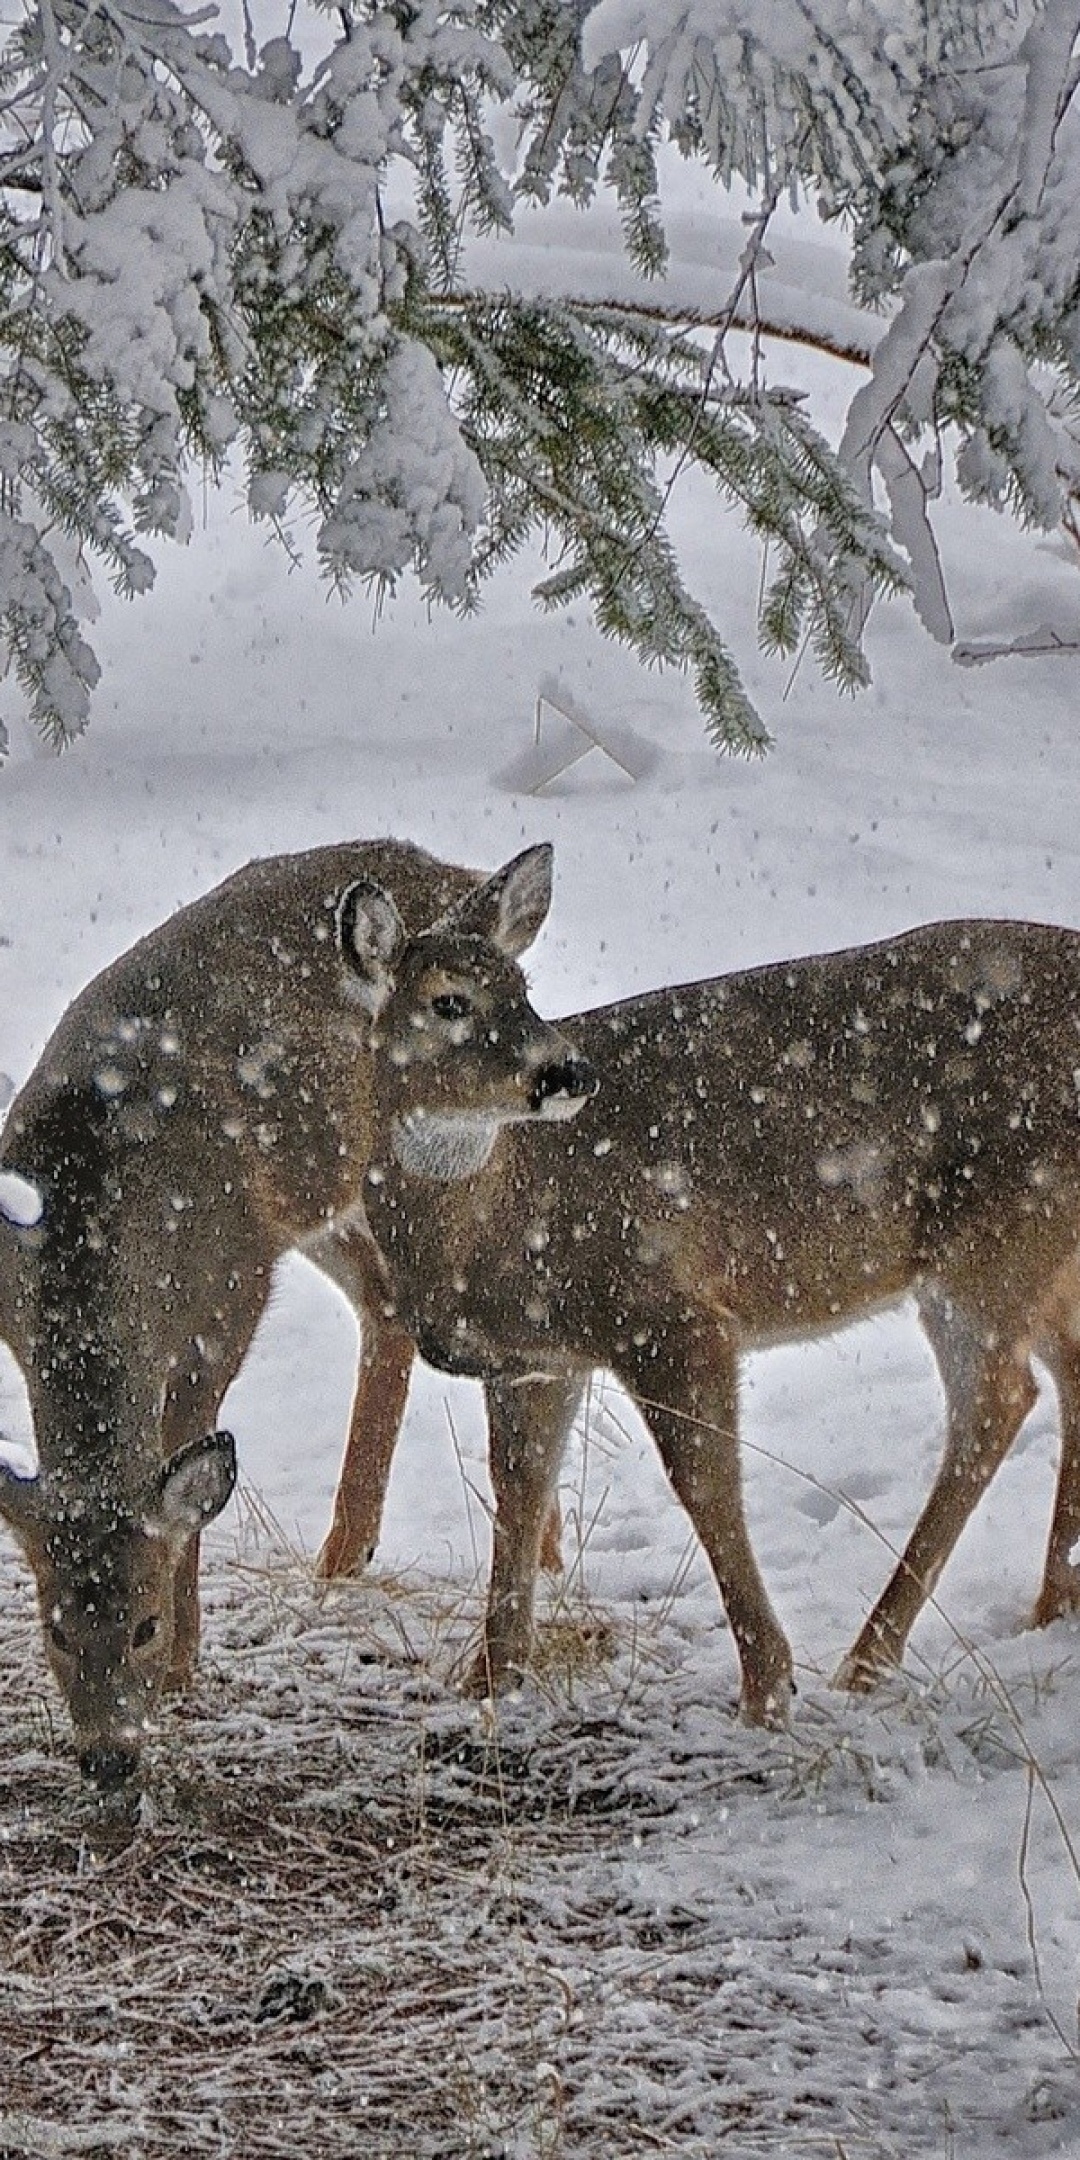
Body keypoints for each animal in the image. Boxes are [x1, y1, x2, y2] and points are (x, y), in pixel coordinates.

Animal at [0, 833, 574, 1797]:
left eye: (143, 1623)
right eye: (54, 1628)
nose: (110, 1761)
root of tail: (456, 876)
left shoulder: (230, 1291)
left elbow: (189, 1464)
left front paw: (186, 1666)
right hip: (329, 1198)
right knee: (387, 1307)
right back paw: (352, 1554)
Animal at [326, 894, 1080, 1719]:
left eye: (523, 987)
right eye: (449, 1001)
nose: (567, 1070)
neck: (489, 1221)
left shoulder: (668, 1313)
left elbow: (704, 1483)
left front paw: (767, 1686)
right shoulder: (536, 1359)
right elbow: (518, 1491)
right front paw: (490, 1679)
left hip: (995, 1239)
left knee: (997, 1402)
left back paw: (867, 1659)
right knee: (1064, 1371)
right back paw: (1051, 1606)